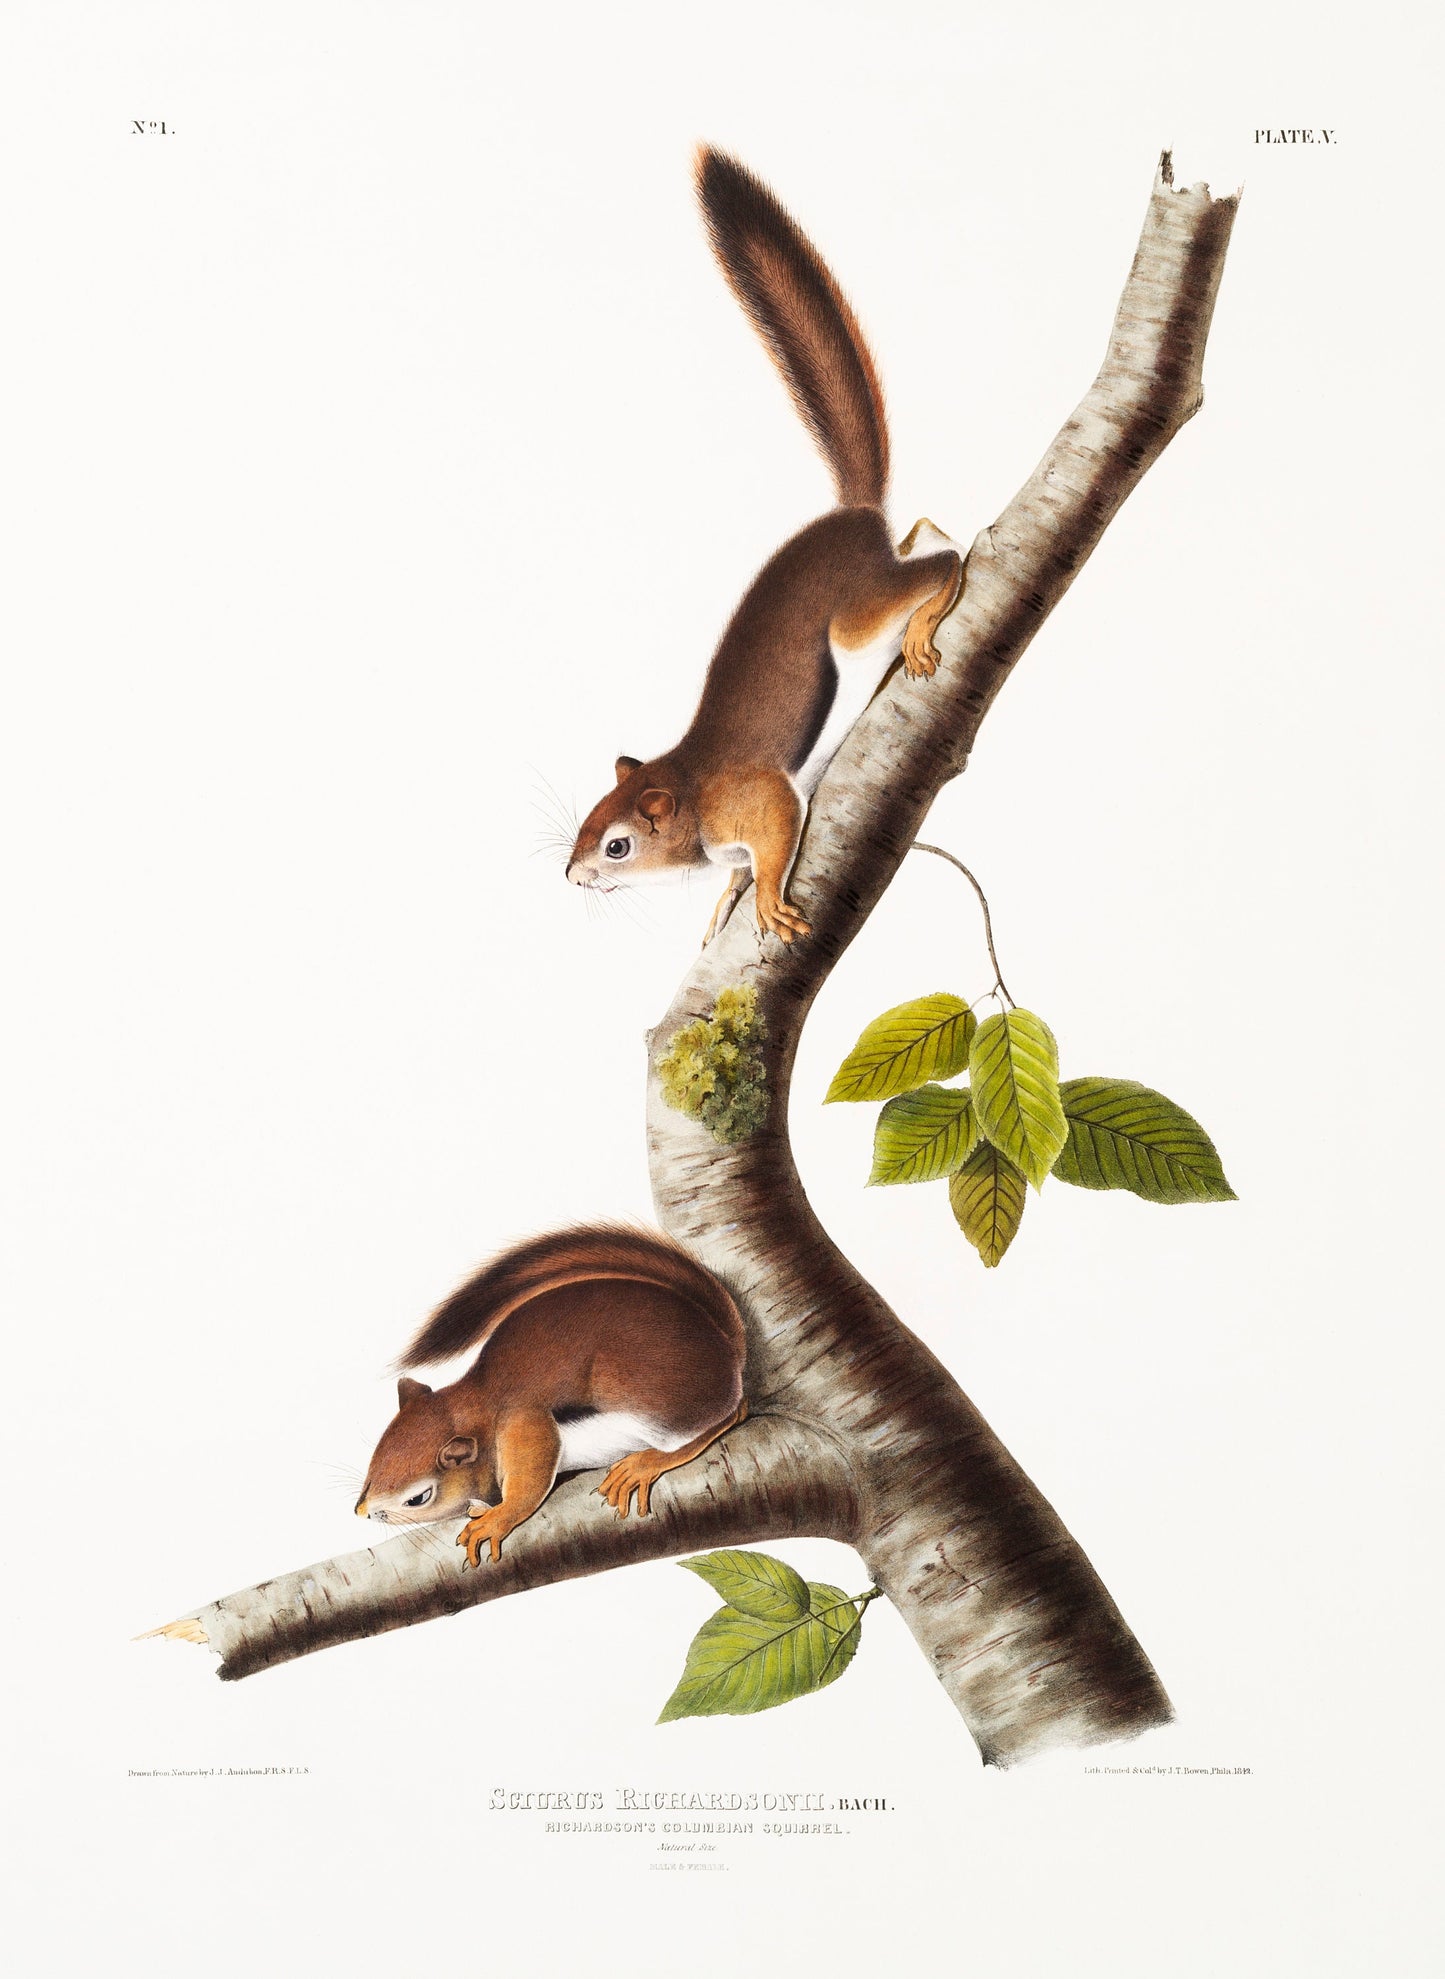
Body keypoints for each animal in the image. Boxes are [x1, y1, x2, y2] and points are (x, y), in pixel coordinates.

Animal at [355, 1224, 747, 1567]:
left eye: (417, 1498)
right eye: (377, 1457)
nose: (362, 1512)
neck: (478, 1406)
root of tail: (727, 1348)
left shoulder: (524, 1425)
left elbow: (528, 1484)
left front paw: (496, 1518)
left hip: (656, 1402)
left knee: (730, 1415)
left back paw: (644, 1464)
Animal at [565, 147, 964, 945]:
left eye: (616, 845)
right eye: (586, 821)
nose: (570, 874)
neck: (687, 788)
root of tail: (852, 517)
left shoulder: (751, 799)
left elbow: (778, 827)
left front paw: (768, 897)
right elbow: (733, 872)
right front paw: (726, 897)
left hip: (853, 619)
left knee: (945, 561)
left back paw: (930, 615)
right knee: (927, 534)